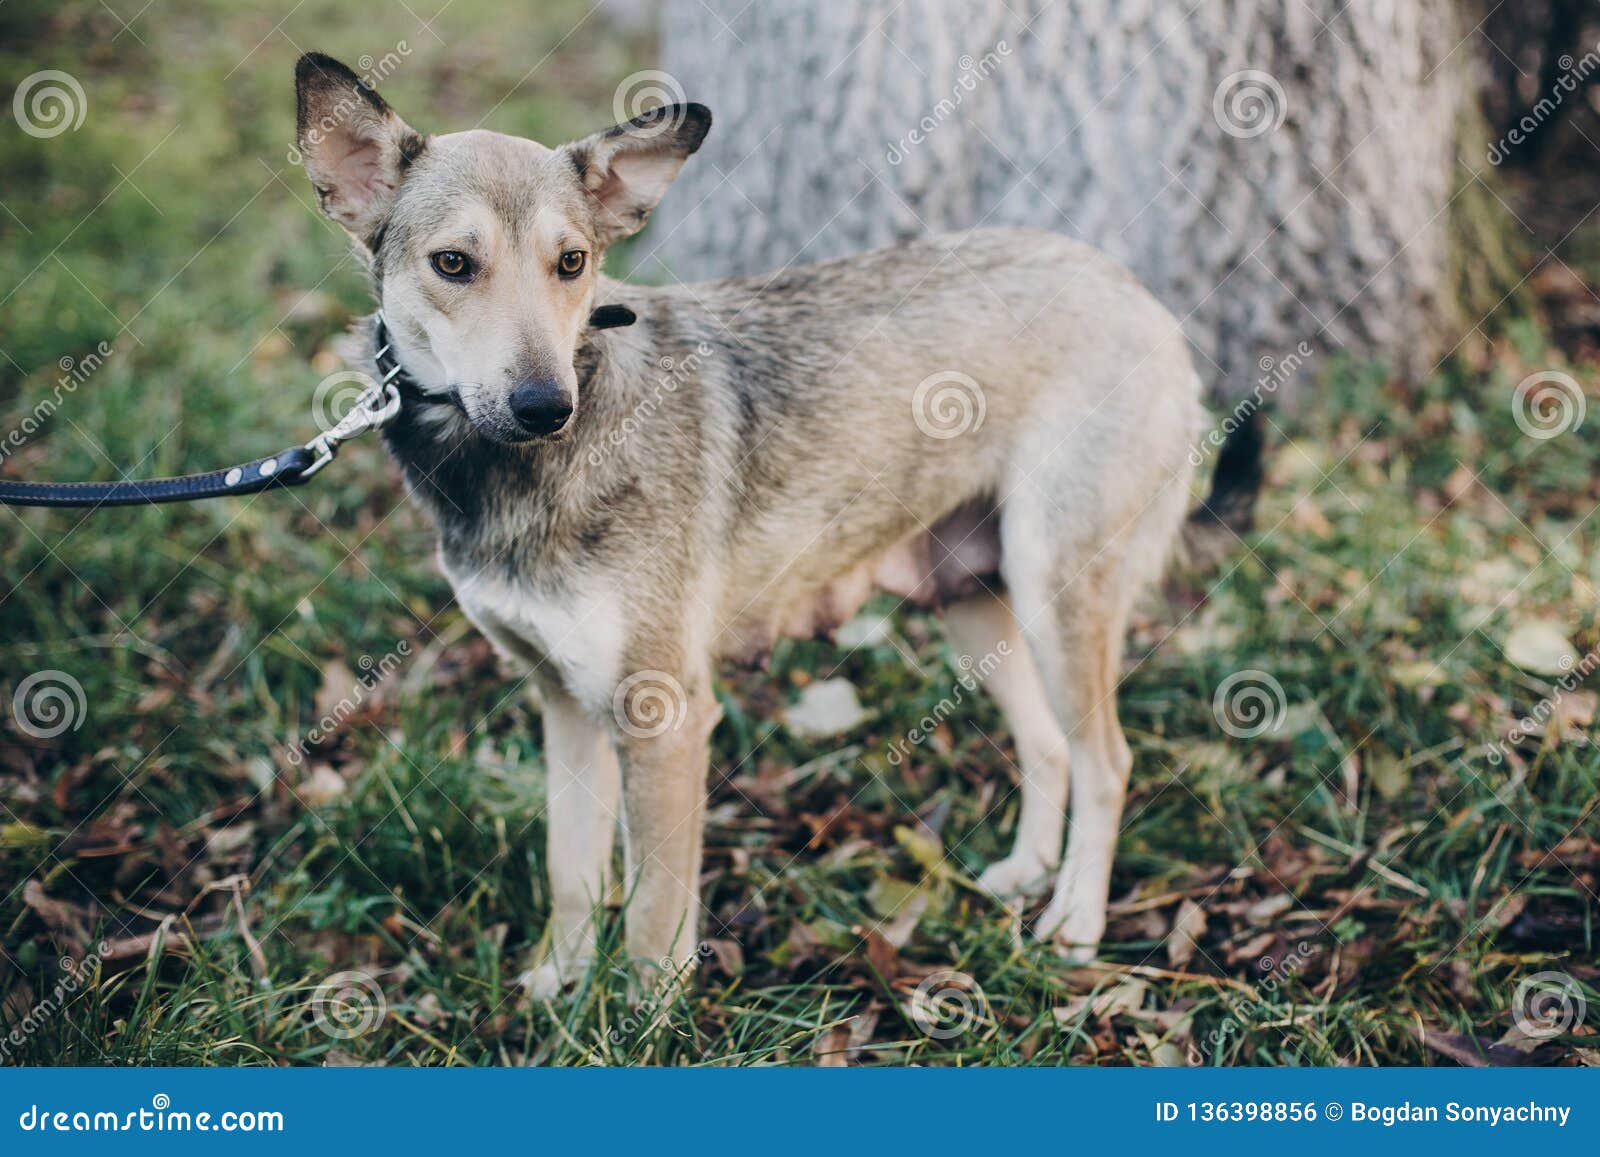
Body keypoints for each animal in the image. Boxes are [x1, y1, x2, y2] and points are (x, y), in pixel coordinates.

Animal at [291, 52, 1260, 998]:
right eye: (454, 264)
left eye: (571, 263)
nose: (544, 407)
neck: (511, 473)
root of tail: (1137, 294)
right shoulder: (563, 705)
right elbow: (572, 874)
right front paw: (556, 990)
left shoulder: (663, 714)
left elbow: (651, 923)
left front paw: (642, 1027)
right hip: (974, 602)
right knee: (1051, 748)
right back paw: (1027, 874)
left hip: (1056, 590)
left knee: (1107, 763)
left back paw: (1077, 923)